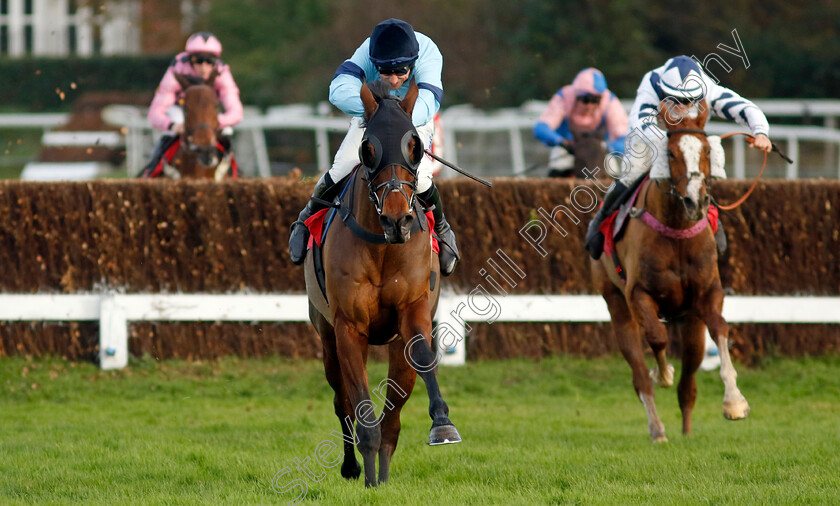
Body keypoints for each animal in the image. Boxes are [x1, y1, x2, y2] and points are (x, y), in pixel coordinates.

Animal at [304, 79, 460, 486]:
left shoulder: (413, 310)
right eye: (368, 148)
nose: (397, 221)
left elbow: (422, 360)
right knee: (341, 399)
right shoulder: (348, 327)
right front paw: (369, 478)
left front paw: (442, 425)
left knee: (391, 410)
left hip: (393, 344)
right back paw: (353, 467)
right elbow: (360, 409)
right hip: (325, 333)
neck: (383, 246)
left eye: (415, 147)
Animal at [592, 101, 748, 440]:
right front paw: (662, 373)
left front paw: (734, 402)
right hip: (616, 304)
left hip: (690, 322)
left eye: (706, 150)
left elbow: (720, 327)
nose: (695, 200)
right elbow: (657, 337)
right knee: (640, 373)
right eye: (671, 153)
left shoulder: (708, 292)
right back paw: (658, 428)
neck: (677, 230)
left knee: (689, 380)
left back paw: (687, 430)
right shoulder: (638, 294)